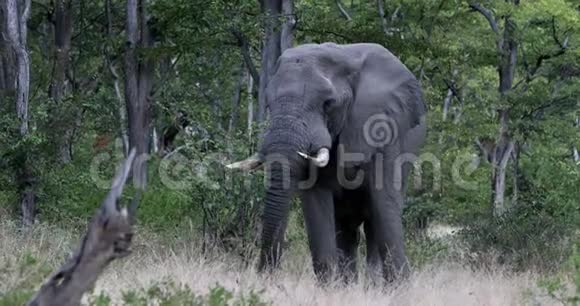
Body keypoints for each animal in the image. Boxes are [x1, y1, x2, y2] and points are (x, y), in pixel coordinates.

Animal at [229, 41, 428, 284]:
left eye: (328, 104)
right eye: (268, 104)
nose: (264, 275)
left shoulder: (384, 130)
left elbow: (384, 204)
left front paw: (400, 287)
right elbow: (317, 204)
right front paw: (330, 287)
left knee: (373, 224)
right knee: (346, 229)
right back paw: (348, 284)